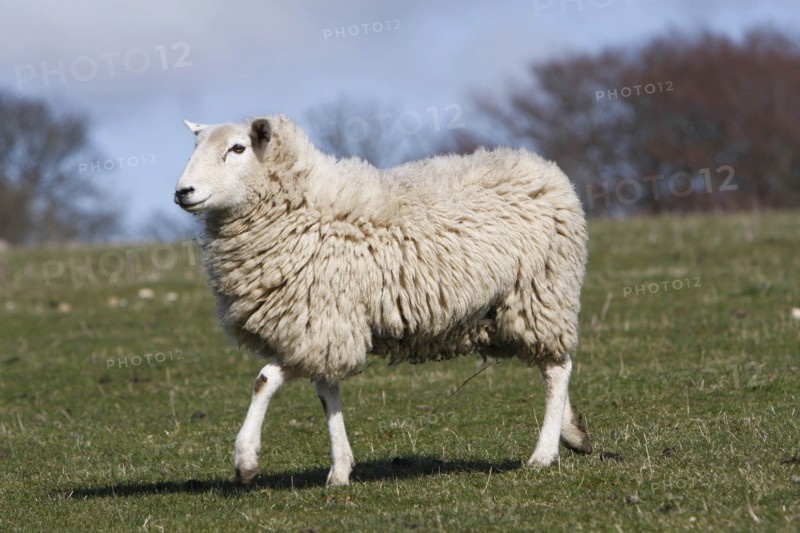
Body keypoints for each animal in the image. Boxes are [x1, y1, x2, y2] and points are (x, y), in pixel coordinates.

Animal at [174, 115, 592, 487]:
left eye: (238, 148)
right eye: (196, 146)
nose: (182, 192)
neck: (301, 206)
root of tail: (545, 169)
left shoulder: (320, 323)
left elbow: (264, 381)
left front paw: (245, 461)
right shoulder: (325, 326)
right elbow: (326, 393)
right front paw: (340, 470)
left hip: (540, 293)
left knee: (558, 368)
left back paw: (543, 454)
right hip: (500, 312)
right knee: (550, 363)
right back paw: (573, 433)